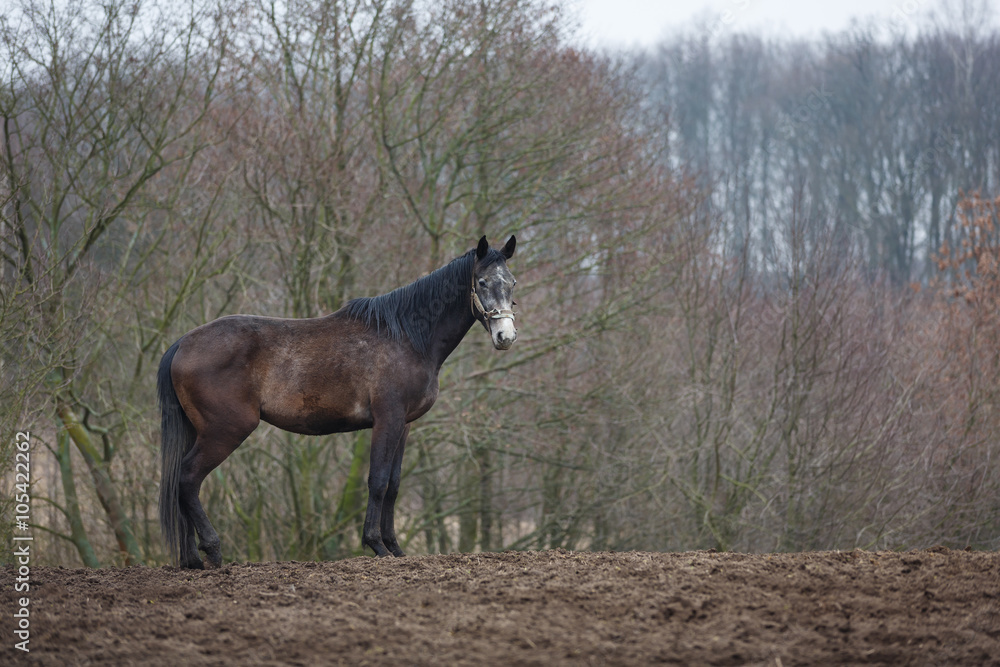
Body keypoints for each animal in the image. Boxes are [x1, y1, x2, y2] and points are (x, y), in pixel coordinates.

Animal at [158, 235, 517, 568]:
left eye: (511, 282)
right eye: (482, 282)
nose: (506, 337)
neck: (407, 337)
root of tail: (183, 343)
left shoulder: (404, 425)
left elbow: (394, 484)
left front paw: (395, 548)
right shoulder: (387, 419)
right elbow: (378, 481)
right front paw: (376, 545)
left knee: (179, 482)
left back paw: (191, 559)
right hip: (226, 430)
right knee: (188, 478)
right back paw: (212, 550)